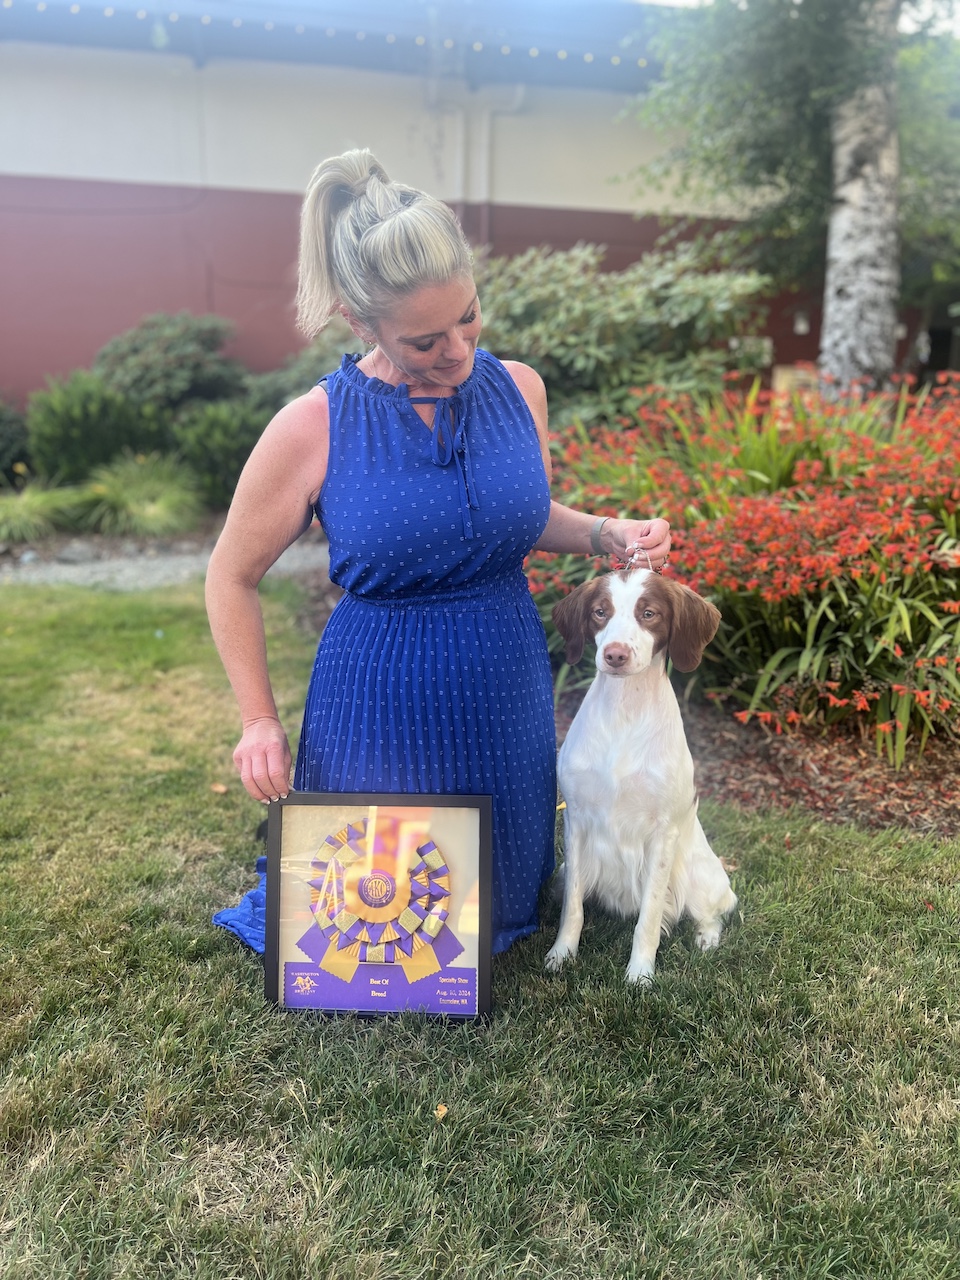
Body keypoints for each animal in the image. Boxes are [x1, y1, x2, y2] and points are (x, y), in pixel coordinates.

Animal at [545, 569, 738, 984]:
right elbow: (573, 908)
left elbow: (649, 917)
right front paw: (561, 954)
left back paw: (706, 939)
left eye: (649, 613)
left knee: (713, 912)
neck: (625, 710)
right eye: (600, 612)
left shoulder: (662, 834)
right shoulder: (576, 822)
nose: (615, 654)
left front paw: (640, 974)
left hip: (703, 877)